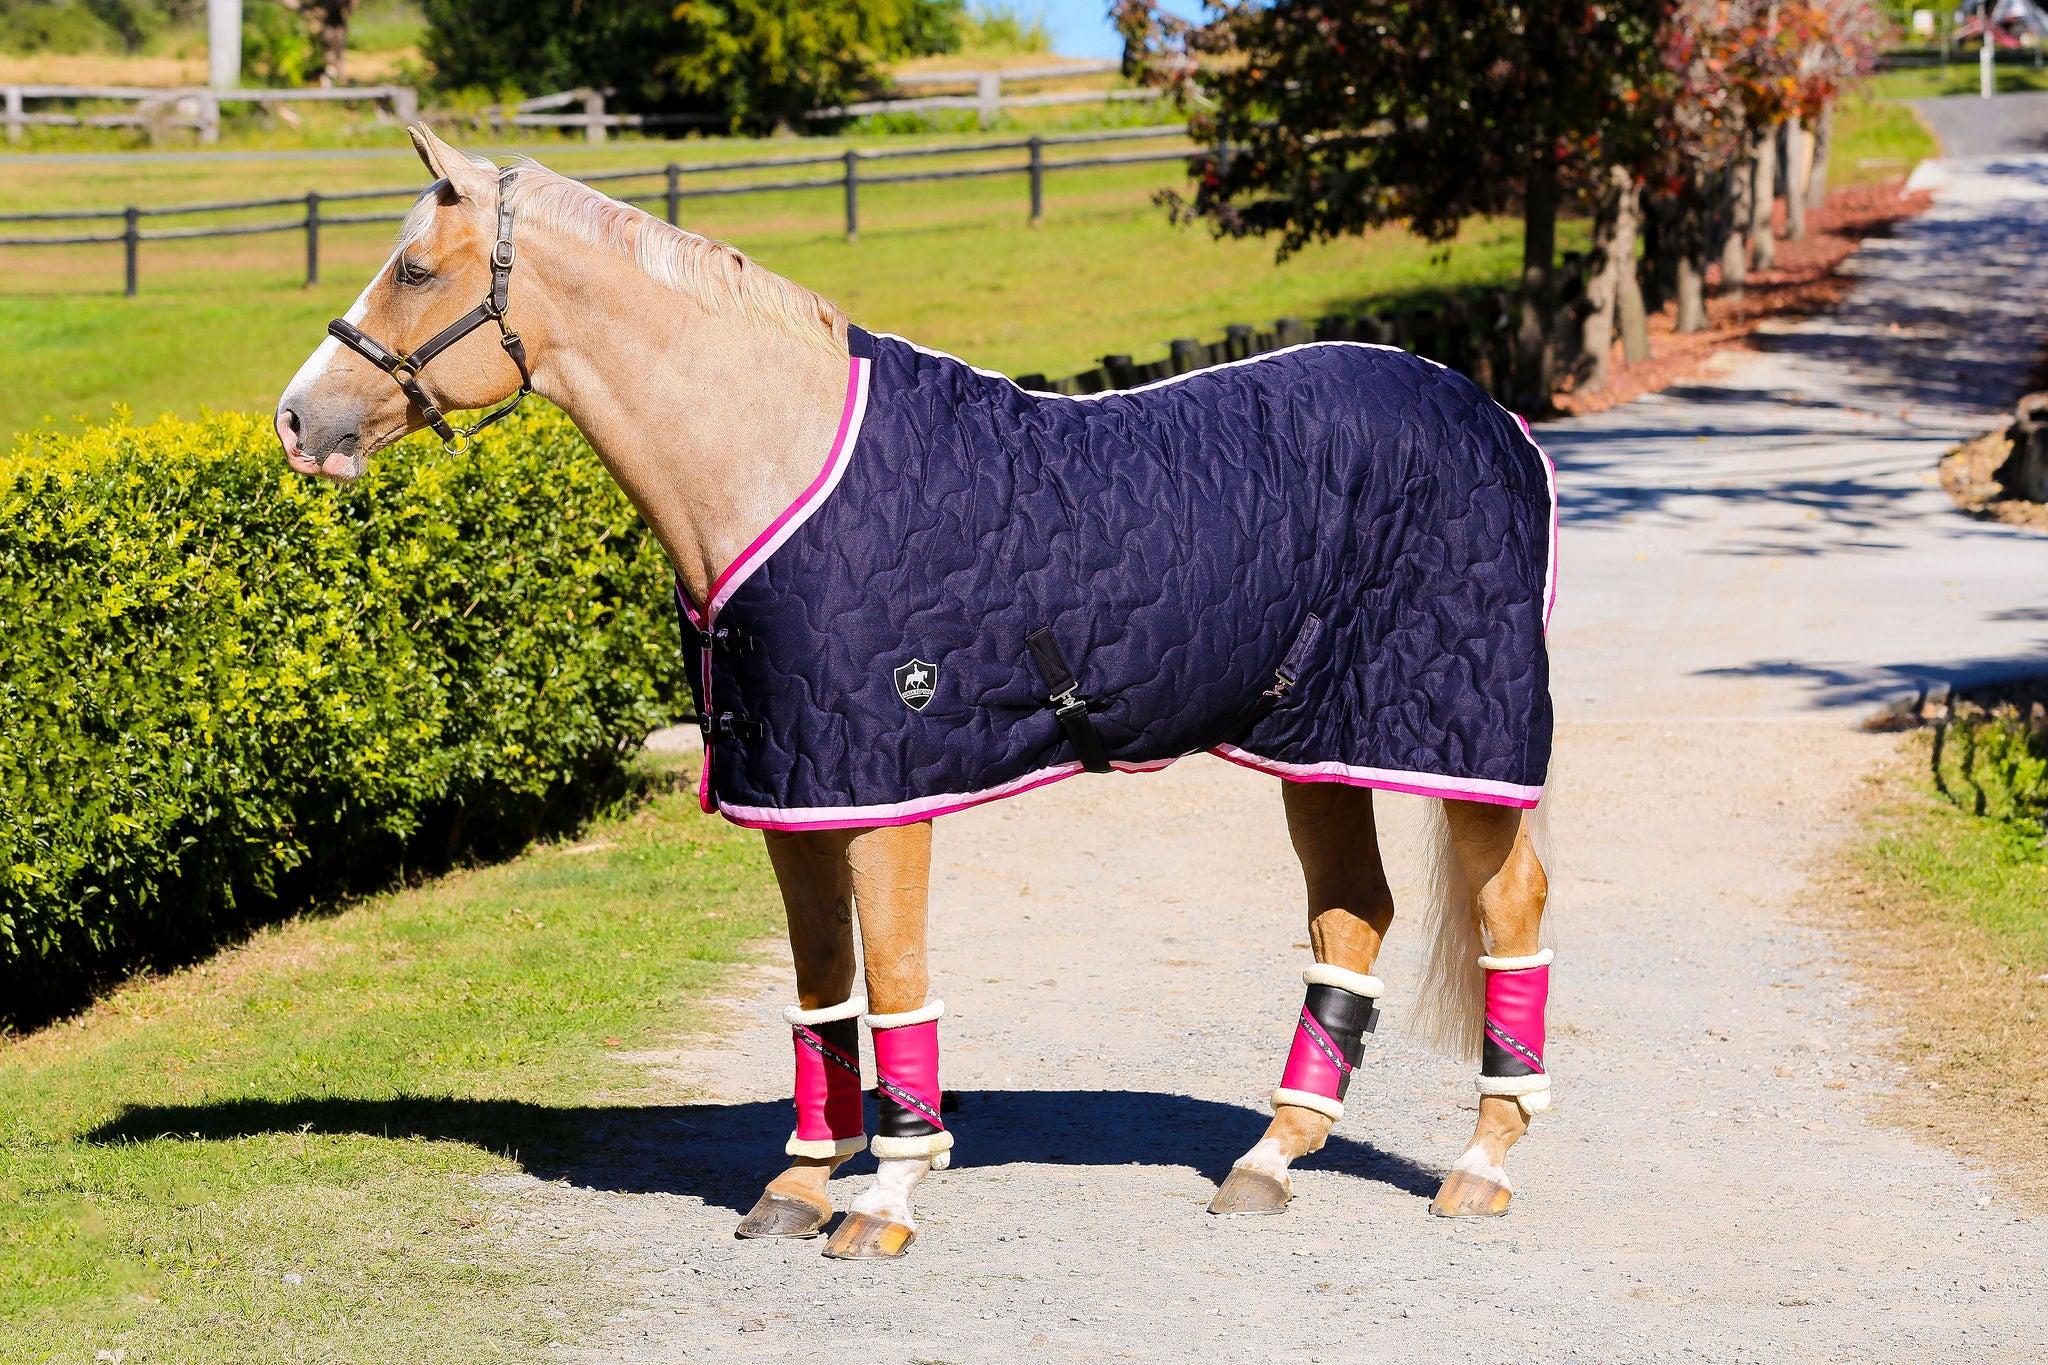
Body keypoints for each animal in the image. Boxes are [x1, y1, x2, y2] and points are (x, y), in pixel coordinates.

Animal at [272, 127, 1548, 1260]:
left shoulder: (884, 792)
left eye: (414, 270)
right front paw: (798, 1184)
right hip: (1319, 741)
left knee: (1509, 908)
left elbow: (894, 987)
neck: (782, 465)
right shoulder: (793, 788)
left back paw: (1482, 1167)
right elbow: (820, 996)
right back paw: (1271, 1157)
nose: (296, 420)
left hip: (1465, 736)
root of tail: (1493, 415)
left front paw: (885, 1197)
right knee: (1350, 915)